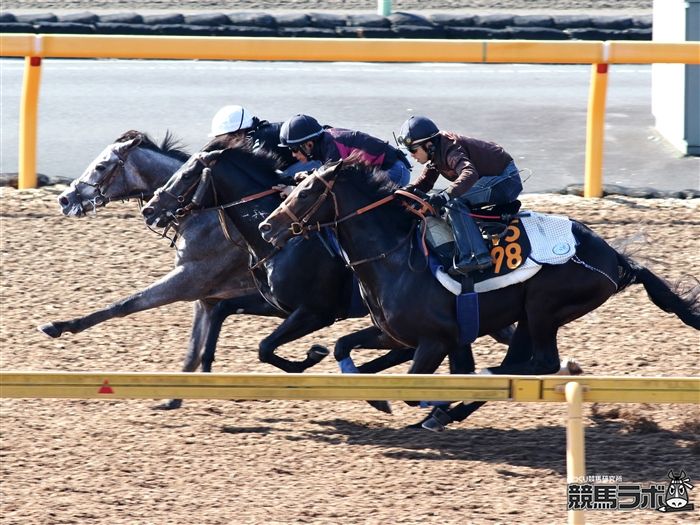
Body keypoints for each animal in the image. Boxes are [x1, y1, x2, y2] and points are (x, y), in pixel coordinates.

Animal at [258, 163, 700, 426]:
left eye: (304, 192)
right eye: (294, 187)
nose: (266, 227)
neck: (395, 256)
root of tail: (616, 260)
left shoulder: (435, 340)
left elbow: (416, 385)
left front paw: (429, 405)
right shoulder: (397, 333)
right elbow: (342, 346)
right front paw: (375, 395)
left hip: (543, 306)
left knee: (537, 363)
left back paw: (466, 396)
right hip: (527, 317)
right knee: (522, 362)